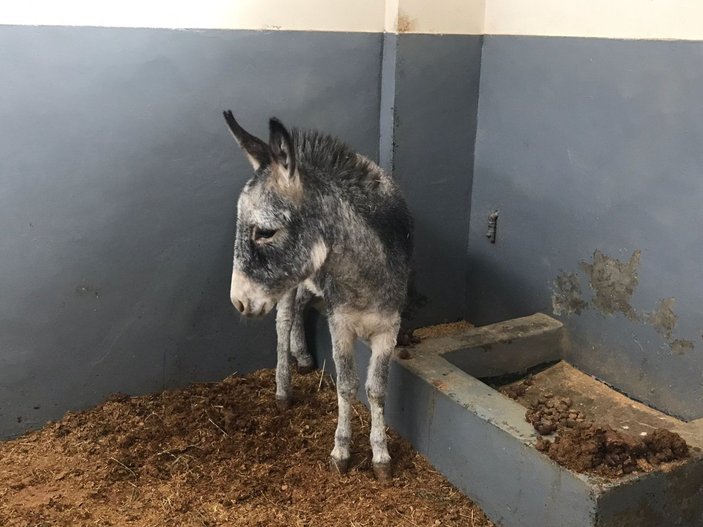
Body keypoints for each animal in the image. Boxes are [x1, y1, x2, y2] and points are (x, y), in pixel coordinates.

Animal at [224, 109, 412, 480]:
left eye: (265, 232)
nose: (238, 302)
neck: (364, 275)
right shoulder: (340, 324)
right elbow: (346, 384)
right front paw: (342, 451)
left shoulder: (388, 328)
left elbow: (376, 389)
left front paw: (381, 456)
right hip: (287, 285)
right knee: (283, 322)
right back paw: (284, 388)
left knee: (299, 307)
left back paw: (304, 356)